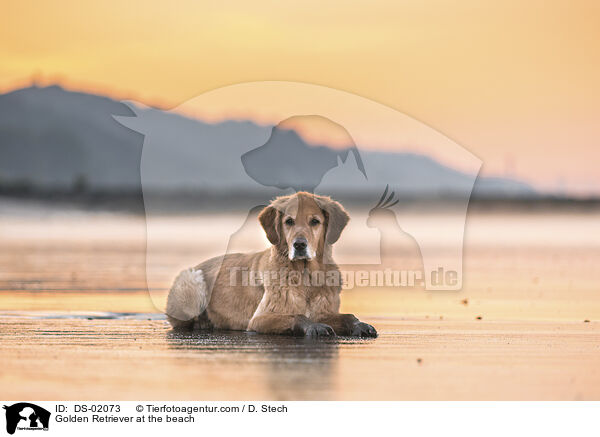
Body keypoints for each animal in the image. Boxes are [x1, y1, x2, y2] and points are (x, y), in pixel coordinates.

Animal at [166, 192, 378, 338]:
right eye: (289, 221)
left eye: (315, 221)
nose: (299, 244)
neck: (306, 275)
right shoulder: (259, 319)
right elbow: (297, 316)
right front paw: (315, 327)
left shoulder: (324, 311)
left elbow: (348, 316)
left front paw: (360, 325)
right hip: (192, 279)